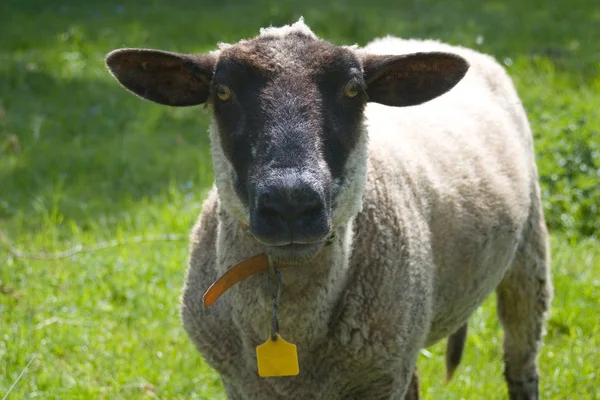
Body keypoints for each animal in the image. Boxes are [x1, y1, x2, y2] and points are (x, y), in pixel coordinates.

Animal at [105, 17, 552, 398]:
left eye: (353, 91)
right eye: (222, 92)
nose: (290, 203)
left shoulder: (377, 380)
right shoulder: (242, 383)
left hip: (528, 261)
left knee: (521, 363)